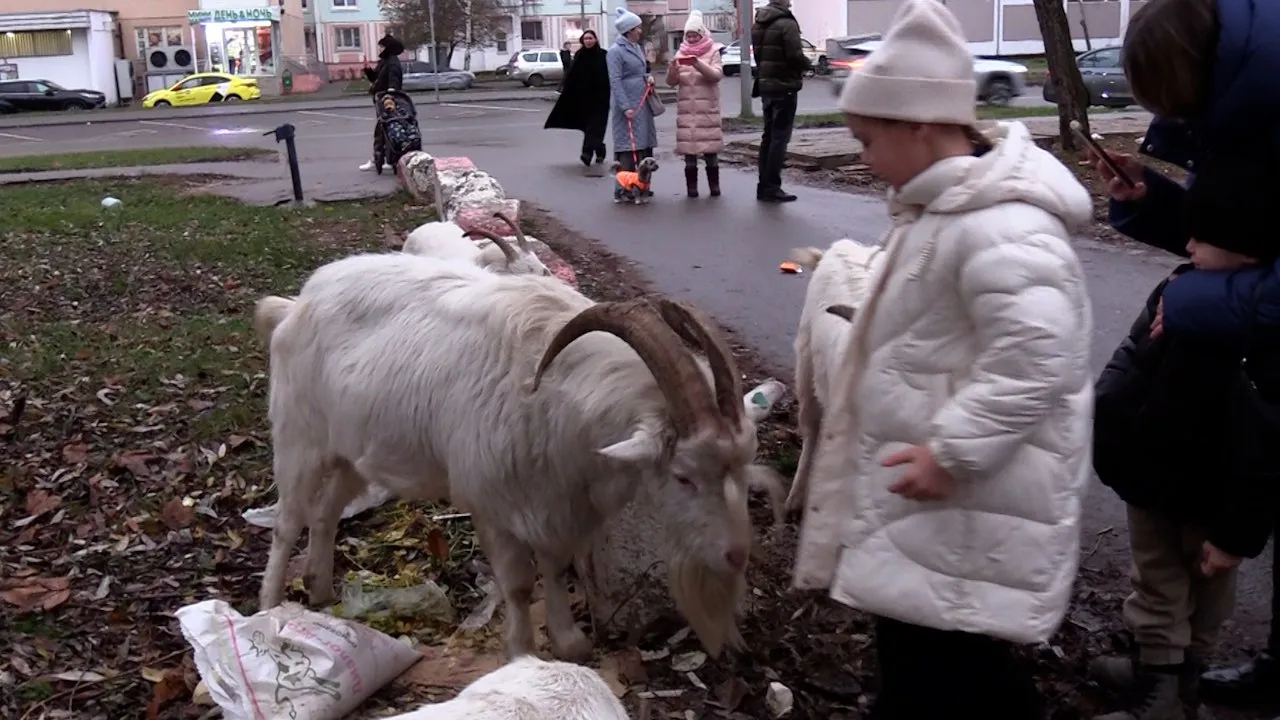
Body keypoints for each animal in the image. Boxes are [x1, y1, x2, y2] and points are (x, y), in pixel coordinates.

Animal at [254, 252, 783, 661]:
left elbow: (555, 565)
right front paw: (524, 653)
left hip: (349, 453)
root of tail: (297, 303)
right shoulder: (492, 505)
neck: (553, 396)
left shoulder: (555, 501)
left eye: (743, 466)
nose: (736, 556)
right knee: (287, 521)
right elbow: (519, 584)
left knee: (325, 513)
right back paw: (268, 607)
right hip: (299, 438)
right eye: (683, 476)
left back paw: (320, 588)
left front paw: (569, 641)